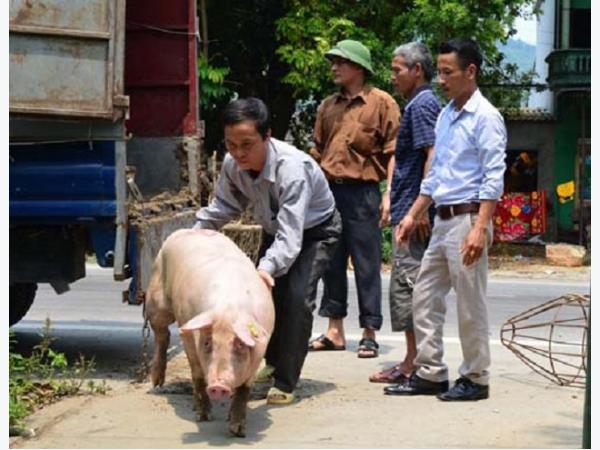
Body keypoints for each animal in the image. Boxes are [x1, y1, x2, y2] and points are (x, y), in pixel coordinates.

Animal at [144, 229, 276, 436]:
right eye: (207, 342)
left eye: (240, 344)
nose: (218, 386)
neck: (228, 309)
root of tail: (185, 230)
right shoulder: (188, 335)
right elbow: (197, 373)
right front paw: (204, 417)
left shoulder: (261, 347)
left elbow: (244, 389)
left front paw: (237, 430)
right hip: (157, 300)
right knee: (161, 334)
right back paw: (157, 383)